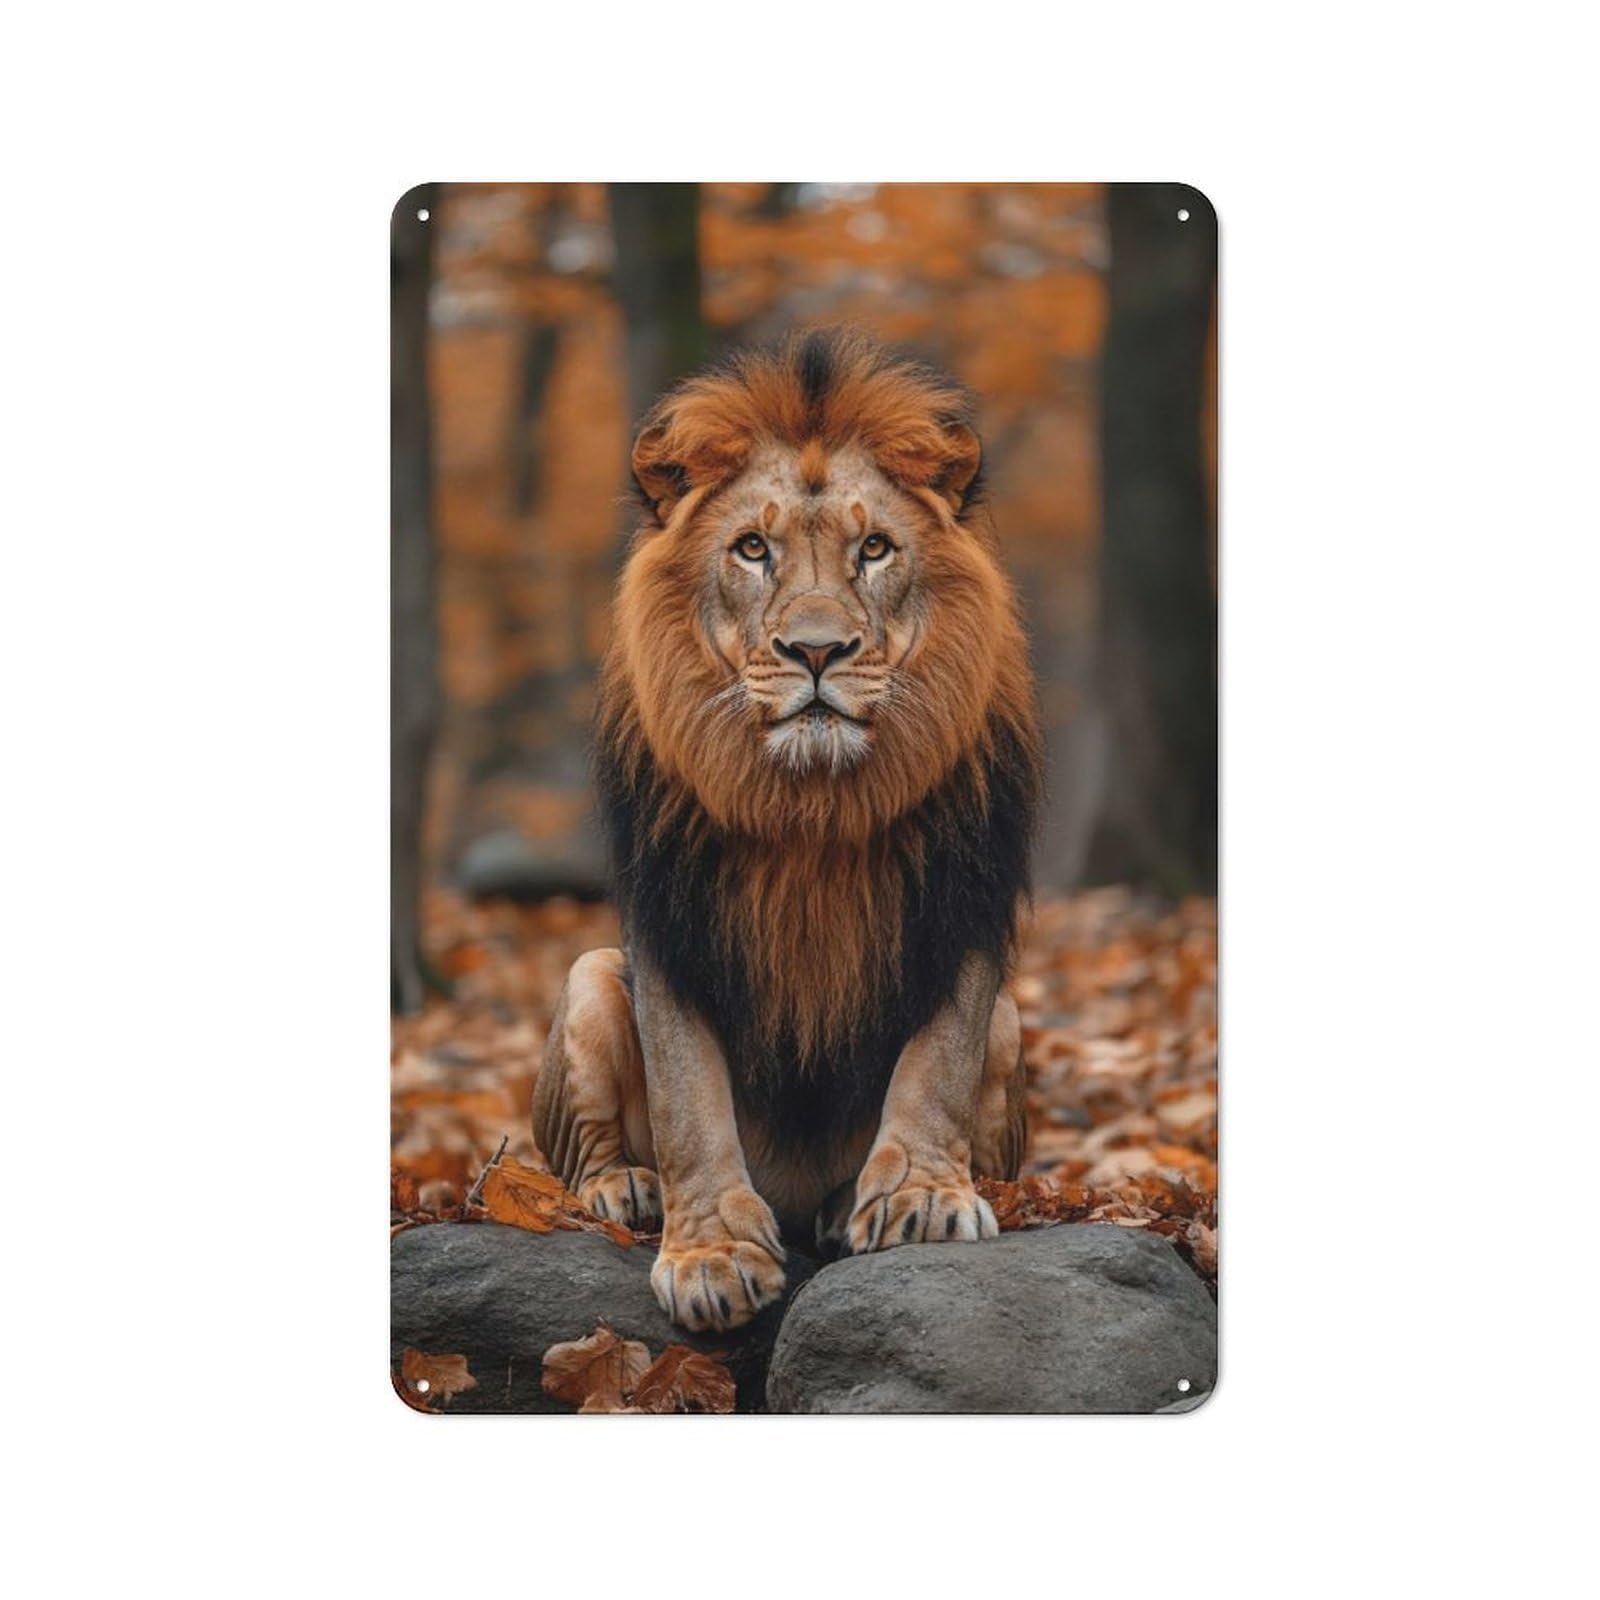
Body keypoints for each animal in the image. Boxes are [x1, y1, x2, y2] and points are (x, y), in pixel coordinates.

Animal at [532, 327, 1042, 1332]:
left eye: (875, 548)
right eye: (752, 548)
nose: (816, 650)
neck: (814, 805)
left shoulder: (962, 905)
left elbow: (937, 1063)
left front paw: (921, 1198)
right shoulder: (671, 921)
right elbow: (689, 1101)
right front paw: (710, 1253)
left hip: (1011, 1020)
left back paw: (848, 1206)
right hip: (590, 976)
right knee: (580, 1151)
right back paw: (624, 1189)